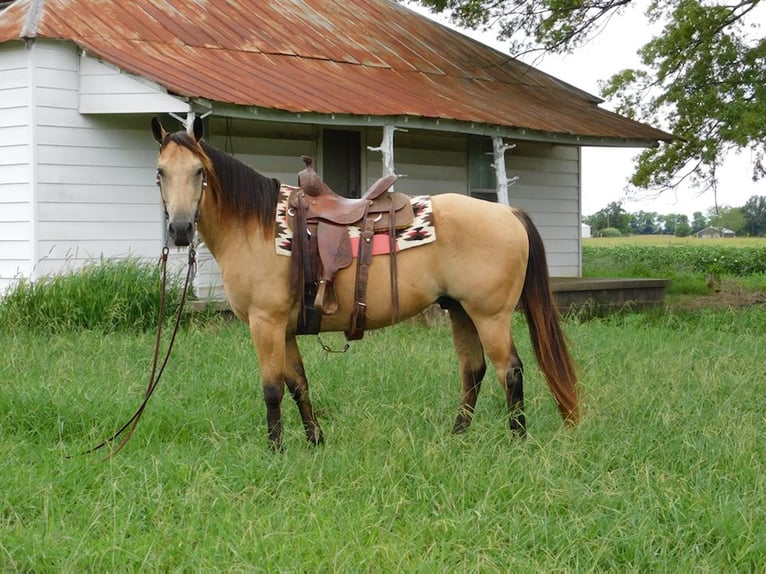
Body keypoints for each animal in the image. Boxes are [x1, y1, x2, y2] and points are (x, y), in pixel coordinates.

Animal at [153, 117, 580, 450]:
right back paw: (457, 437)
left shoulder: (266, 324)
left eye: (199, 172)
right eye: (160, 173)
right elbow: (298, 384)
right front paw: (314, 441)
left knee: (510, 371)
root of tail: (508, 212)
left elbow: (272, 388)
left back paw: (518, 441)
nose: (179, 230)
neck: (257, 228)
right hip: (460, 311)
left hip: (490, 315)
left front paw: (275, 450)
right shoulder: (285, 329)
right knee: (473, 370)